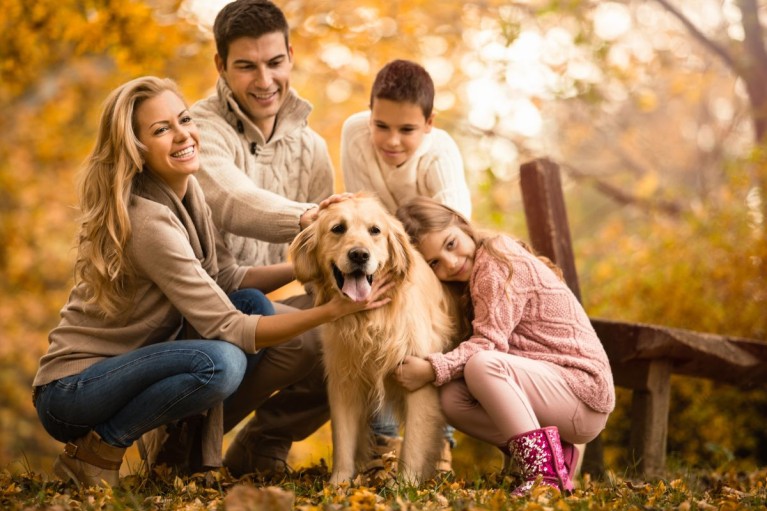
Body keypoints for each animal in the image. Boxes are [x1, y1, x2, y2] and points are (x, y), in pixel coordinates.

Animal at [288, 195, 456, 484]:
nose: (359, 255)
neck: (371, 319)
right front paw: (339, 484)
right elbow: (343, 440)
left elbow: (413, 444)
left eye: (375, 231)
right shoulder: (344, 381)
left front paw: (406, 485)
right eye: (338, 228)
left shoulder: (419, 381)